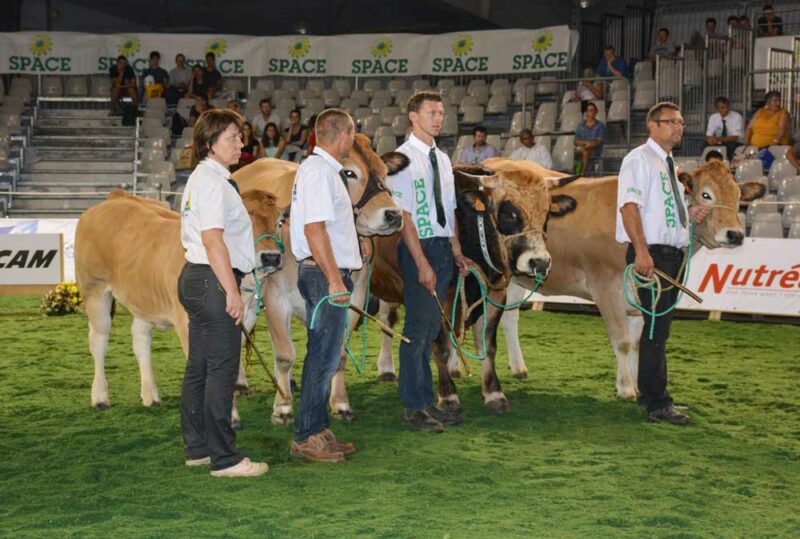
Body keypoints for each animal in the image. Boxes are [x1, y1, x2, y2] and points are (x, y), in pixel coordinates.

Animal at [75, 189, 286, 410]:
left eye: (280, 221)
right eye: (245, 220)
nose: (271, 257)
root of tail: (117, 196)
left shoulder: (248, 315)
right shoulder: (187, 320)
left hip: (144, 296)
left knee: (140, 338)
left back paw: (150, 395)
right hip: (94, 290)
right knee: (98, 340)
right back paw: (100, 397)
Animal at [231, 135, 406, 426]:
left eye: (384, 171)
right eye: (349, 173)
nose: (394, 215)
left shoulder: (353, 299)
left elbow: (340, 354)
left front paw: (340, 403)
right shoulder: (276, 298)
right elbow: (284, 354)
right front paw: (282, 407)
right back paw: (244, 383)